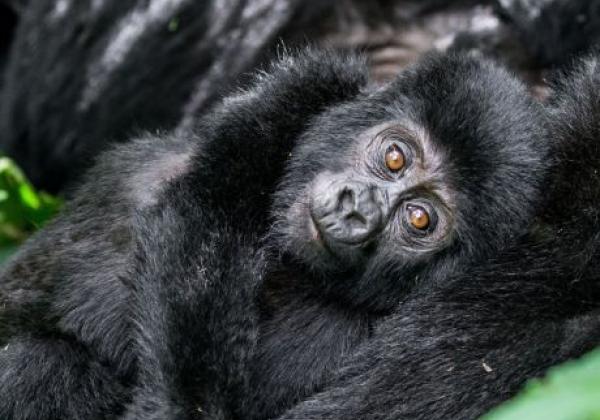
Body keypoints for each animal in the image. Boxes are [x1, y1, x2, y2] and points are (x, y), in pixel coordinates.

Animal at [0, 48, 548, 416]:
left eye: (420, 219)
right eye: (396, 156)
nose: (356, 210)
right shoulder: (307, 82)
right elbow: (207, 211)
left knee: (42, 365)